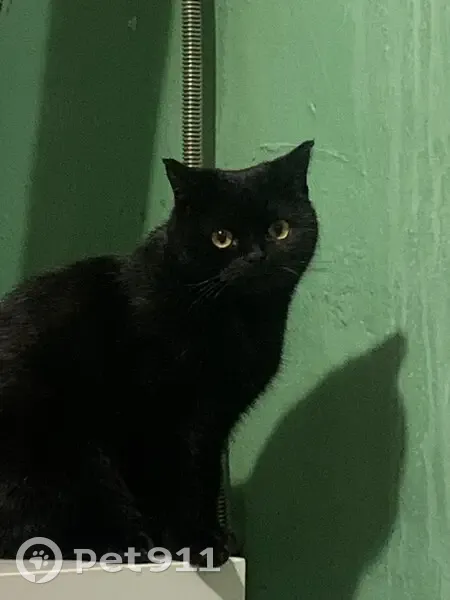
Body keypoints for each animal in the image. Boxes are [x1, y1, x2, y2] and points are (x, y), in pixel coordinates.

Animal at [0, 139, 319, 568]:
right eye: (221, 237)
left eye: (279, 230)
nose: (256, 257)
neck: (239, 322)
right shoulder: (157, 417)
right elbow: (174, 481)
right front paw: (194, 543)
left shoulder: (212, 423)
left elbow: (203, 480)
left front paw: (214, 537)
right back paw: (130, 544)